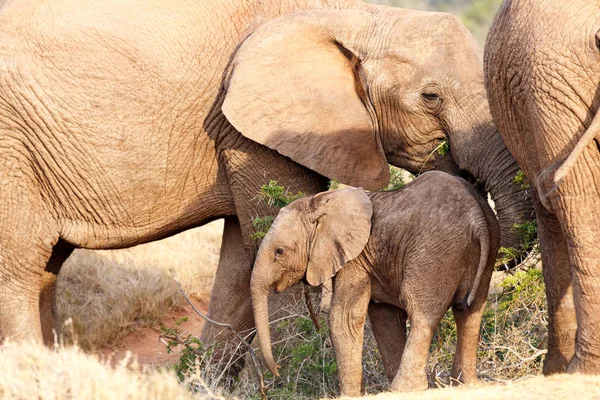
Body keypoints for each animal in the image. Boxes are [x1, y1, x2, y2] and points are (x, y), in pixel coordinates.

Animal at [0, 0, 532, 368]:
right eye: (430, 96)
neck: (349, 17)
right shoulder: (254, 126)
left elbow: (243, 262)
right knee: (20, 271)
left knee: (45, 270)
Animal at [251, 170, 500, 396]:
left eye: (279, 252)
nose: (276, 371)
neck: (322, 202)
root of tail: (476, 215)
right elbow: (384, 318)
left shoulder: (354, 259)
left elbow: (343, 318)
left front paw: (350, 395)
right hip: (485, 248)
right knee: (469, 311)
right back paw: (465, 383)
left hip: (435, 251)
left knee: (421, 312)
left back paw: (405, 389)